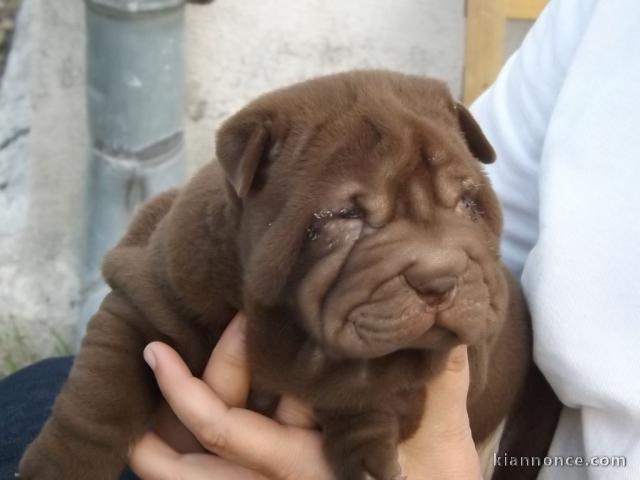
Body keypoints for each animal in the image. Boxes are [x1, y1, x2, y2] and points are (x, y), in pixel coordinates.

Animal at [18, 69, 560, 478]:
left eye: (468, 202)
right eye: (345, 216)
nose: (440, 277)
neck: (282, 323)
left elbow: (367, 377)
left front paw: (364, 446)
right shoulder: (146, 296)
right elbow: (98, 396)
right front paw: (60, 466)